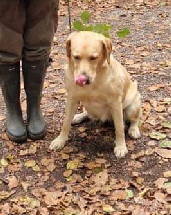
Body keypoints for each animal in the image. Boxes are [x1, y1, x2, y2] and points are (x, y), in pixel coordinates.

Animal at [49, 30, 142, 158]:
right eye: (76, 57)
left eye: (93, 58)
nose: (83, 78)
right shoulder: (72, 98)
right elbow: (65, 123)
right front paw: (60, 140)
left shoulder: (115, 103)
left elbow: (119, 128)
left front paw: (120, 146)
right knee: (87, 113)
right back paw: (78, 116)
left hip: (132, 104)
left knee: (134, 120)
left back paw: (133, 130)